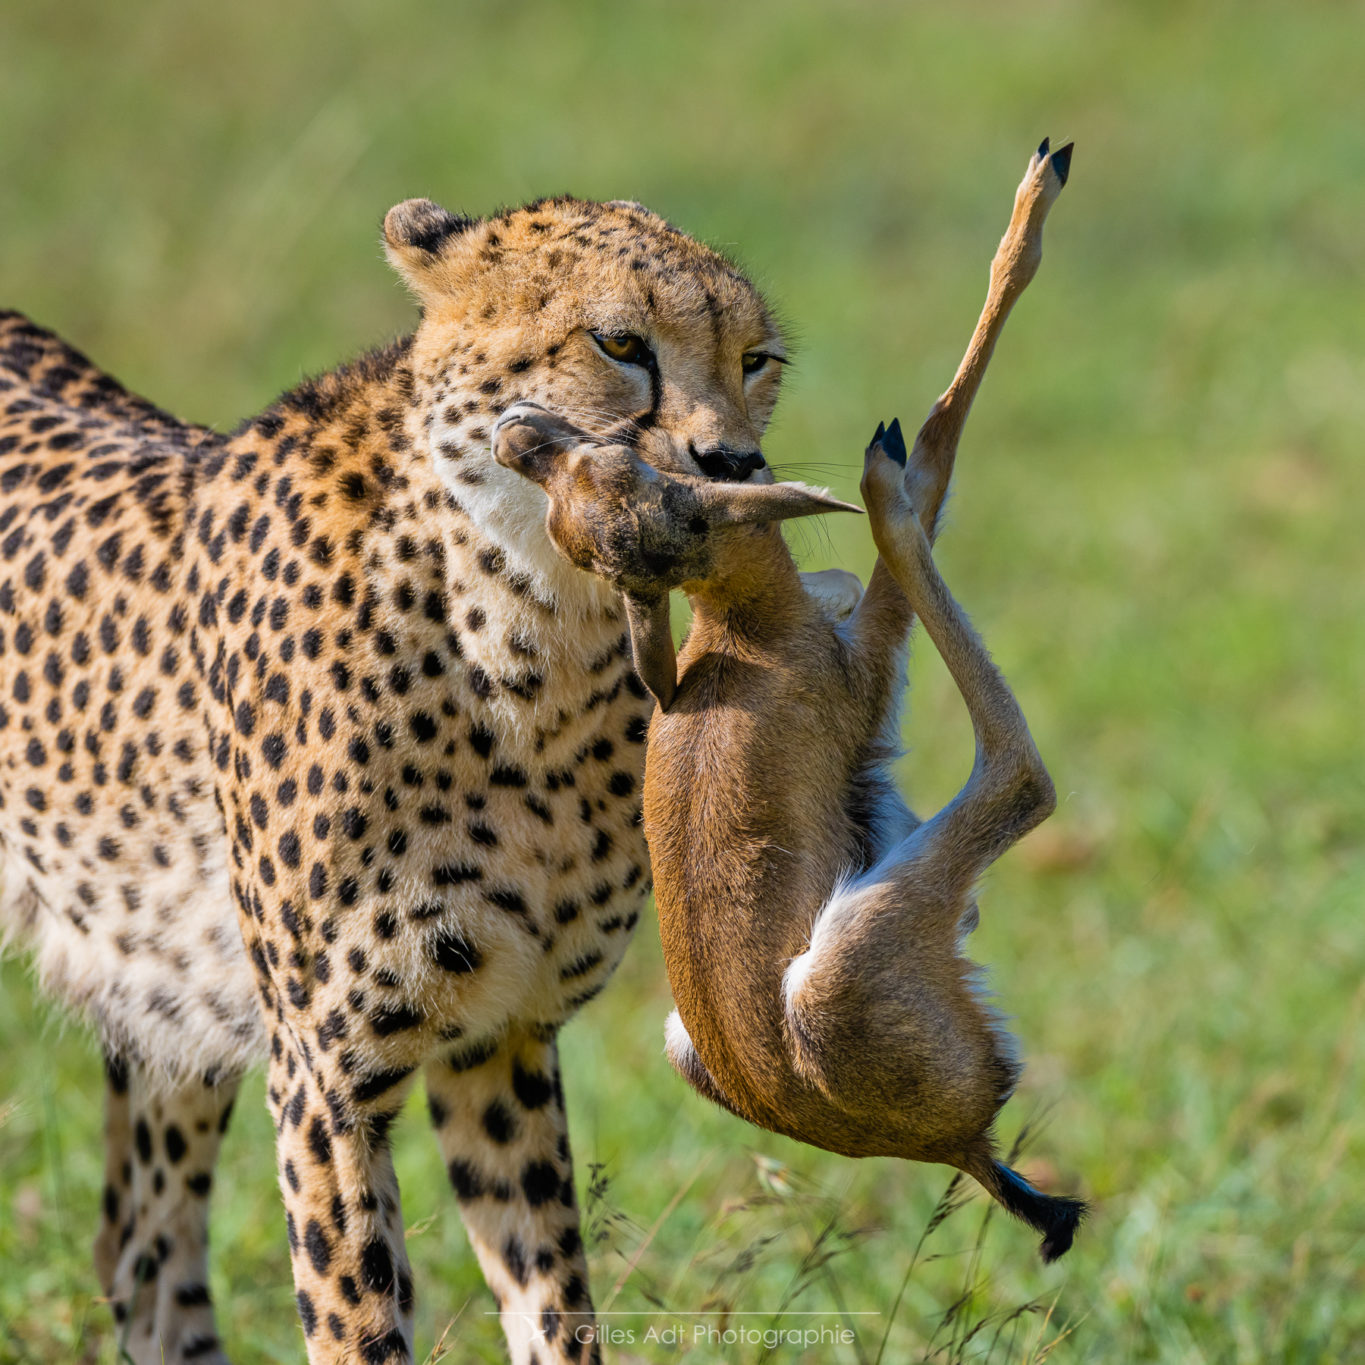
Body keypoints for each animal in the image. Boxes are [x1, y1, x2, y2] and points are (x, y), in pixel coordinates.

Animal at [0, 199, 797, 1365]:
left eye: (756, 360)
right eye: (619, 343)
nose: (733, 462)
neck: (527, 642)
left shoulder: (503, 1038)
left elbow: (555, 1307)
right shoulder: (323, 1072)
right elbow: (358, 1314)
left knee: (142, 1246)